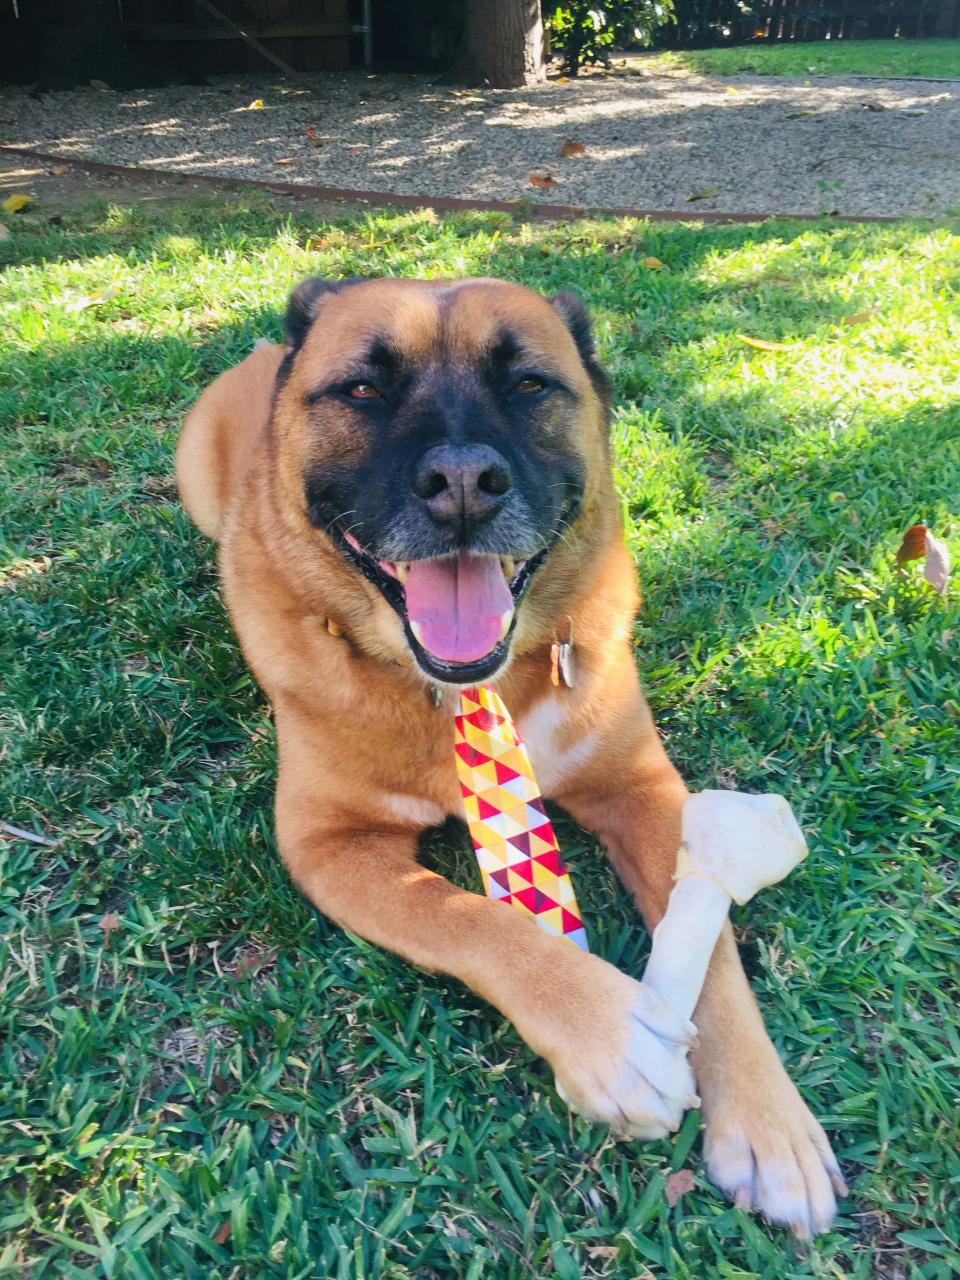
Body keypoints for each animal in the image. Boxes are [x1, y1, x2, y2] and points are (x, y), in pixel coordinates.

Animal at [176, 277, 844, 1239]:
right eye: (362, 389)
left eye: (529, 384)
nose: (462, 483)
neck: (455, 690)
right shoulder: (329, 843)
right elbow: (466, 915)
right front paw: (609, 1031)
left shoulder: (645, 791)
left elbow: (712, 951)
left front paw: (769, 1125)